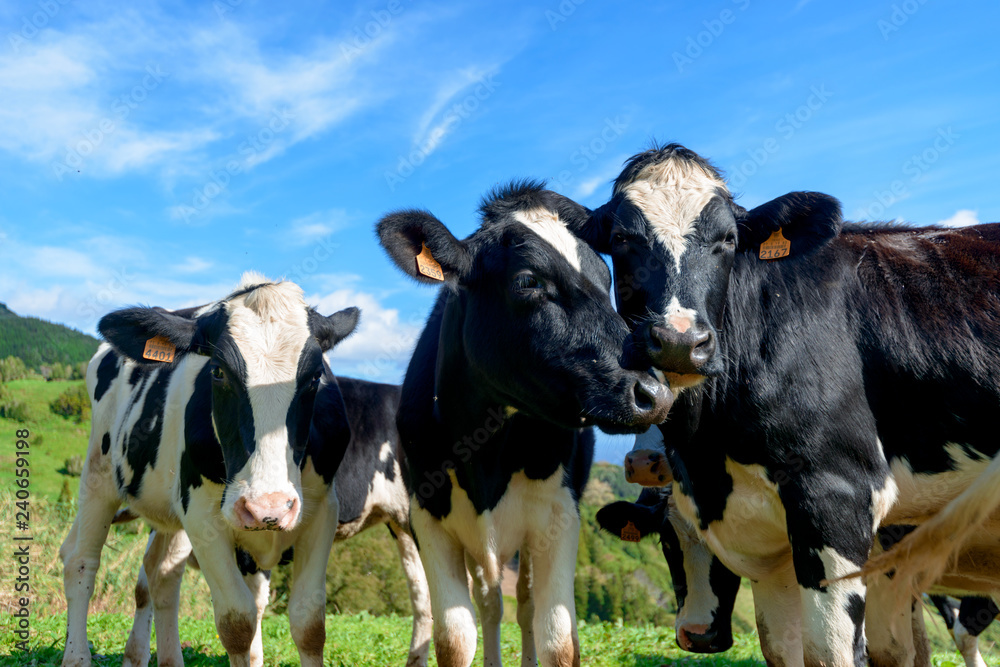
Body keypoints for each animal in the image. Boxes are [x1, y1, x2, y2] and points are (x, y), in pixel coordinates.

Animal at [59, 274, 360, 664]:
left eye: (314, 377)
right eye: (218, 372)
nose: (266, 507)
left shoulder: (322, 509)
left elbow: (308, 623)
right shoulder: (201, 514)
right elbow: (237, 622)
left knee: (161, 575)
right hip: (99, 473)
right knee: (81, 561)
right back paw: (76, 655)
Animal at [376, 181, 672, 667]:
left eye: (606, 279)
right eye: (528, 281)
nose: (655, 393)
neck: (484, 453)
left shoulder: (560, 514)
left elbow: (557, 637)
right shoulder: (428, 515)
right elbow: (455, 638)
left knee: (525, 605)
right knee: (492, 602)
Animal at [584, 146, 1000, 667]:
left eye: (728, 239)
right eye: (622, 239)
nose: (680, 342)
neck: (708, 460)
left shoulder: (836, 493)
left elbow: (838, 650)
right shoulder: (769, 535)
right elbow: (783, 648)